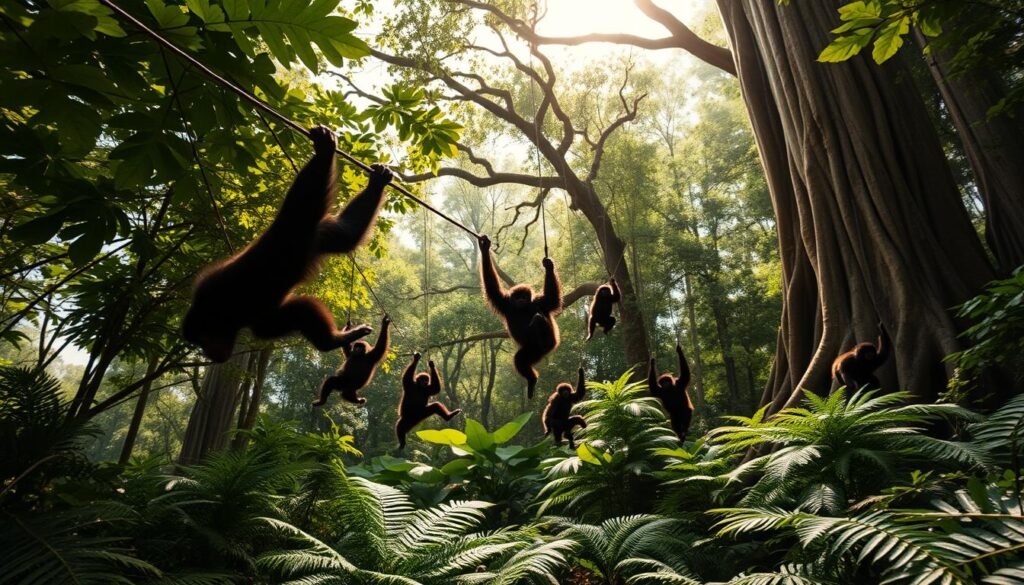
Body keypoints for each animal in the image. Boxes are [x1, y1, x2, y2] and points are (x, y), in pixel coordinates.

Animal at [182, 125, 393, 363]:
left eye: (201, 342)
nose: (208, 354)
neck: (214, 313)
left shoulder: (220, 294)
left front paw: (332, 341)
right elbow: (293, 314)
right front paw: (332, 341)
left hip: (293, 224)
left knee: (304, 198)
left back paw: (324, 152)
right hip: (320, 234)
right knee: (347, 236)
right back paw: (376, 185)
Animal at [478, 235, 561, 399]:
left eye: (523, 296)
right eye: (517, 297)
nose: (521, 299)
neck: (522, 309)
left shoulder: (540, 302)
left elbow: (553, 299)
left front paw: (548, 266)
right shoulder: (504, 303)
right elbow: (492, 287)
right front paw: (484, 248)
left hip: (547, 344)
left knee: (538, 321)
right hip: (532, 351)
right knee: (521, 360)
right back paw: (532, 379)